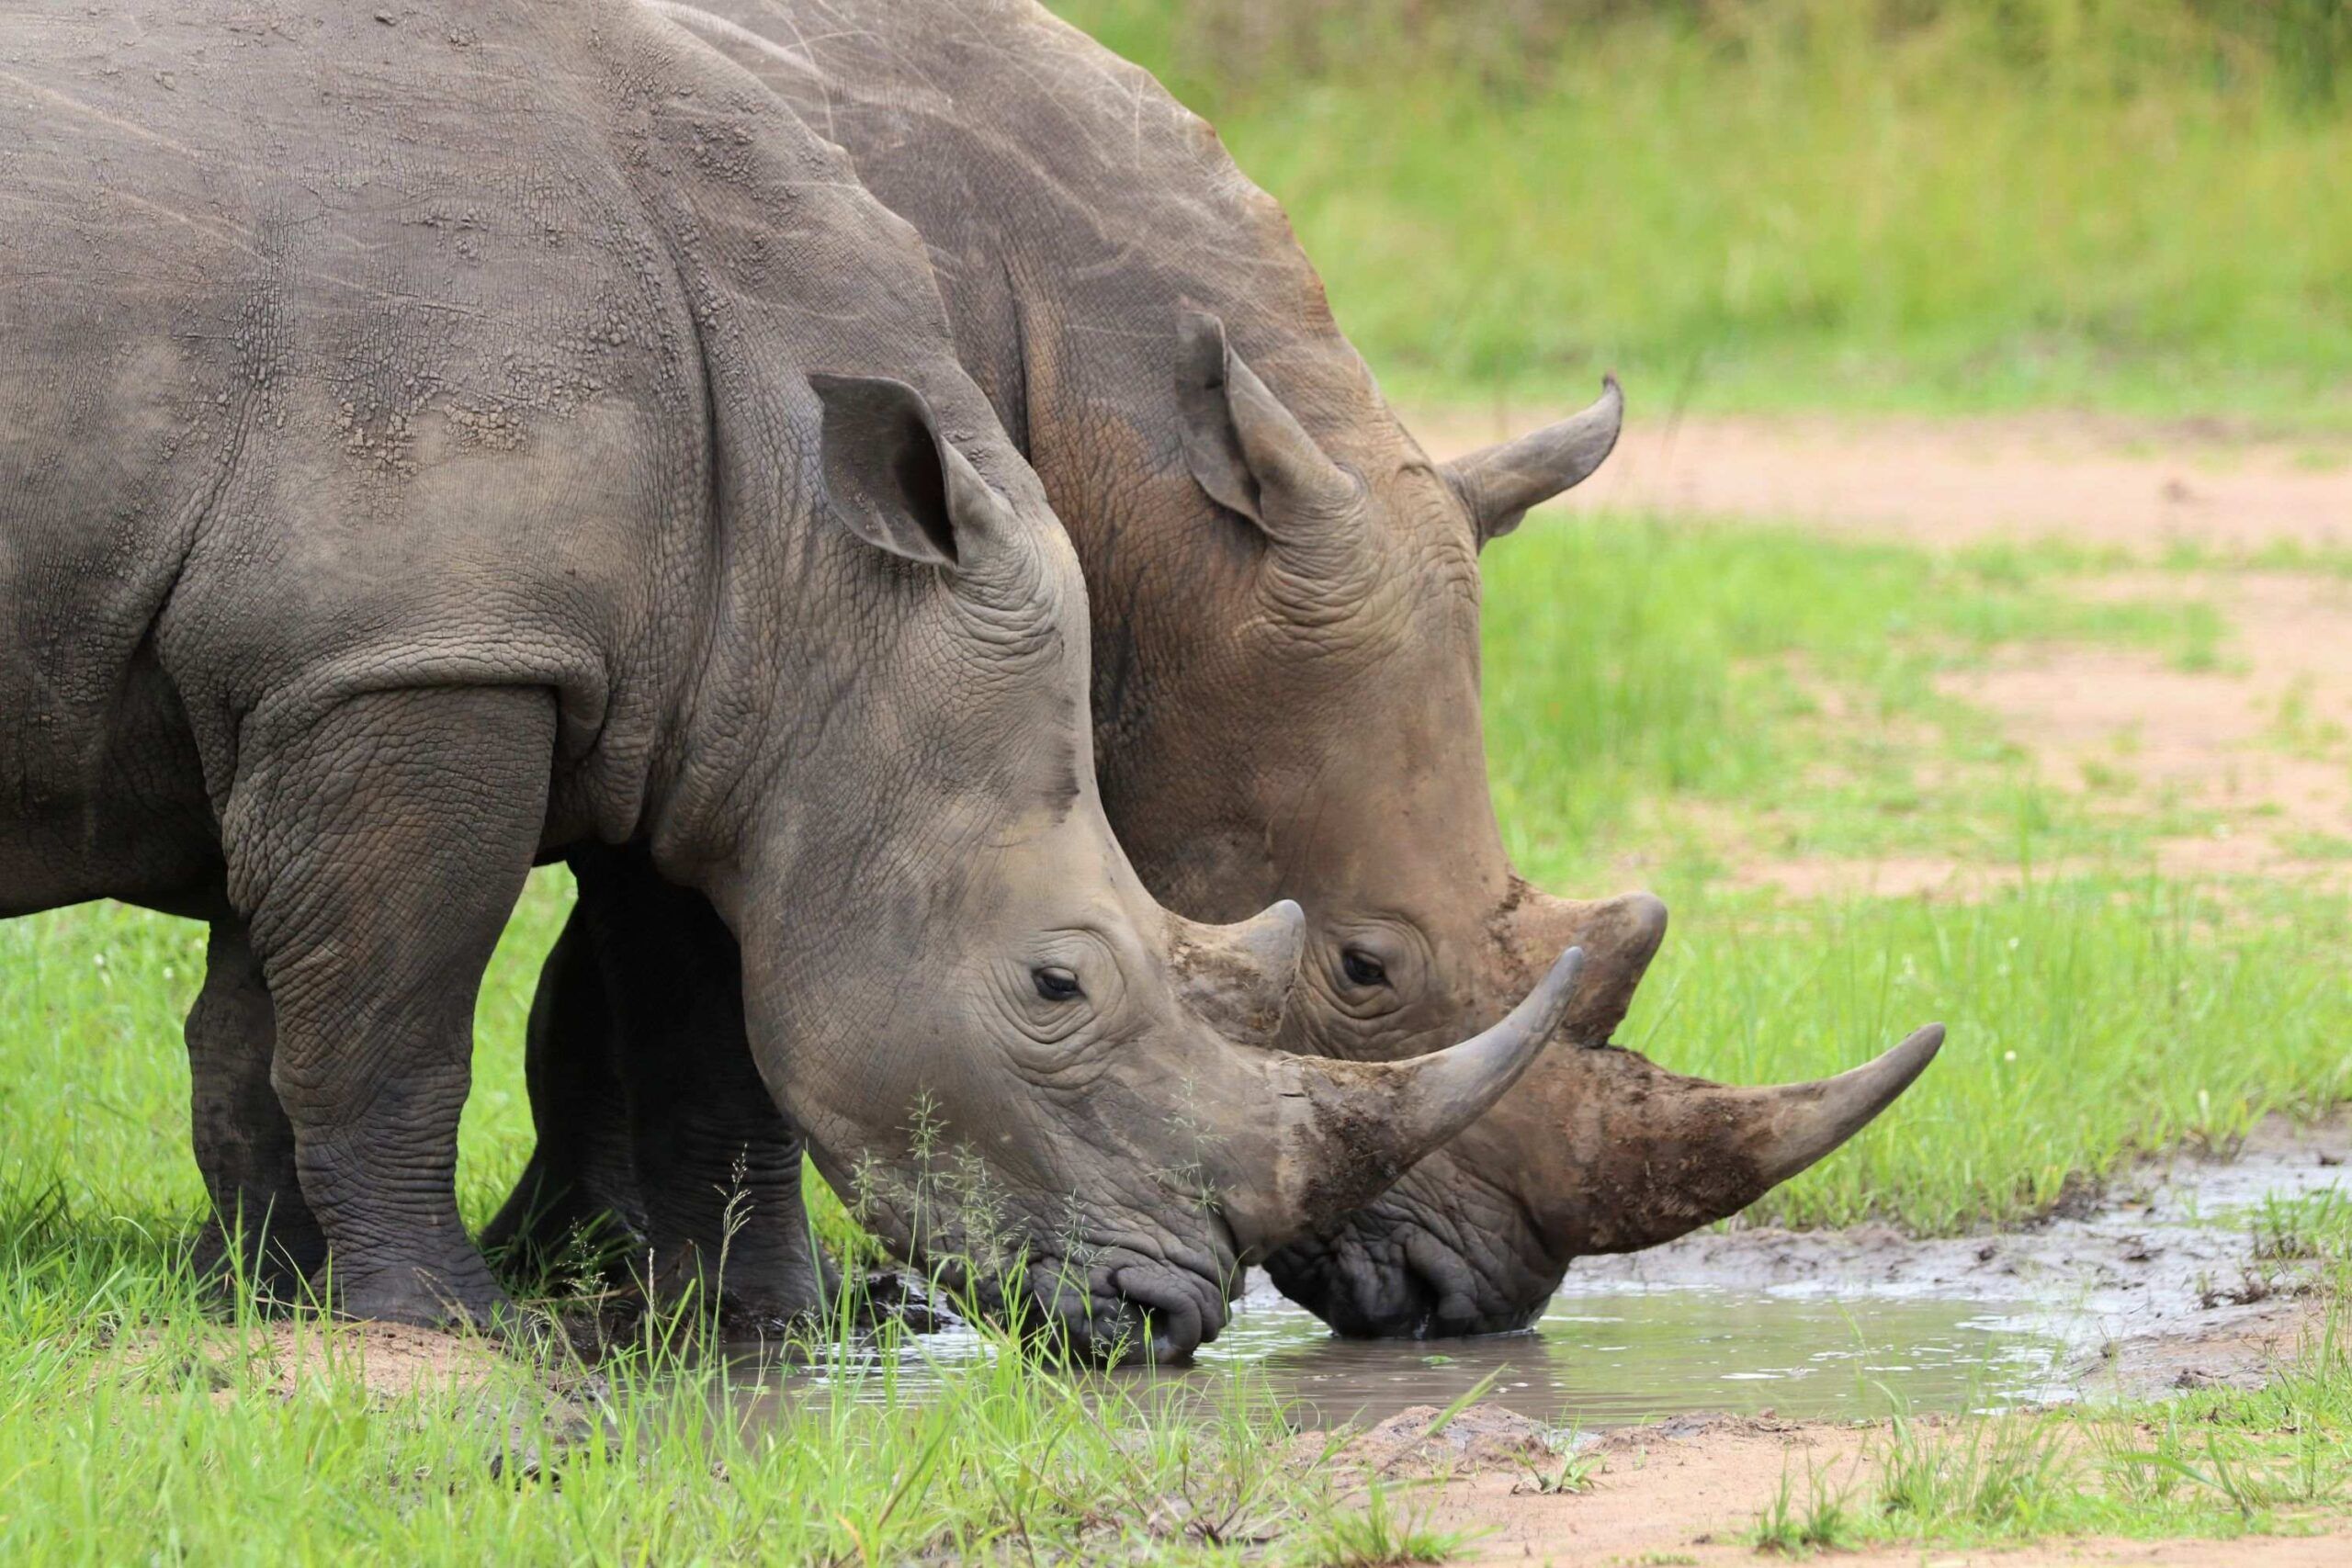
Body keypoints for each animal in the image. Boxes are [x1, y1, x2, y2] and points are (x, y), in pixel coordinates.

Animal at [5, 0, 1580, 1363]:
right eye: (1056, 983)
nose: (1168, 1312)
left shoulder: (496, 678)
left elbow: (301, 1024)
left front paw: (284, 1292)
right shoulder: (428, 653)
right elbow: (400, 1021)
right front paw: (451, 1320)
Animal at [486, 0, 1938, 1344]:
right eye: (1363, 970)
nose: (1467, 1299)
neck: (1126, 454)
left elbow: (600, 992)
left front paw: (564, 1264)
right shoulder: (758, 646)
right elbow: (680, 984)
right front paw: (690, 1302)